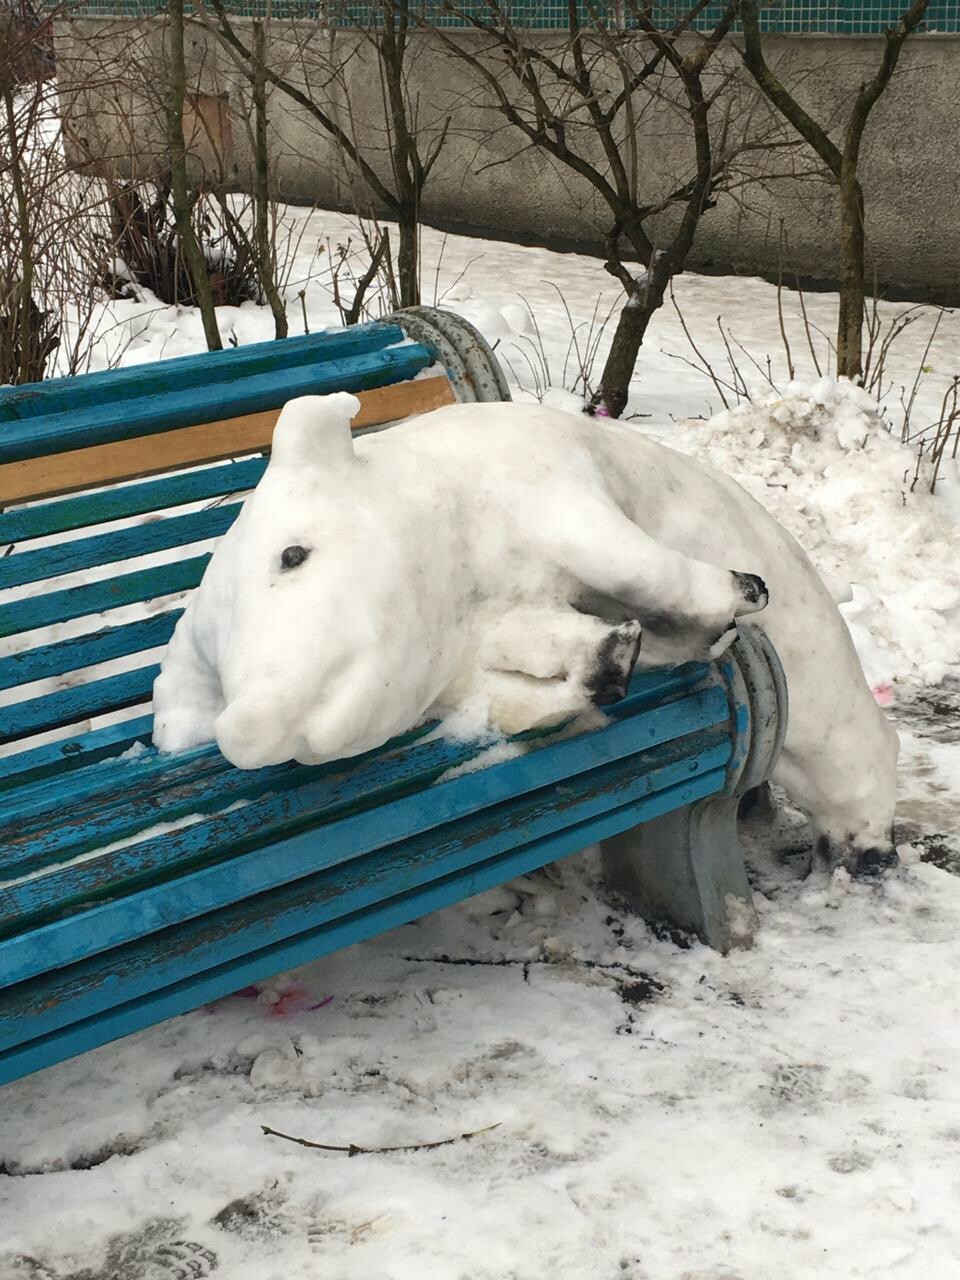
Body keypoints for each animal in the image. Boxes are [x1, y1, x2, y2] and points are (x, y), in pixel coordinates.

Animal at [156, 391, 901, 870]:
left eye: (293, 554)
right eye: (219, 673)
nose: (243, 727)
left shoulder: (561, 494)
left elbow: (639, 564)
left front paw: (741, 596)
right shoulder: (475, 657)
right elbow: (531, 675)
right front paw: (620, 658)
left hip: (839, 725)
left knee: (866, 757)